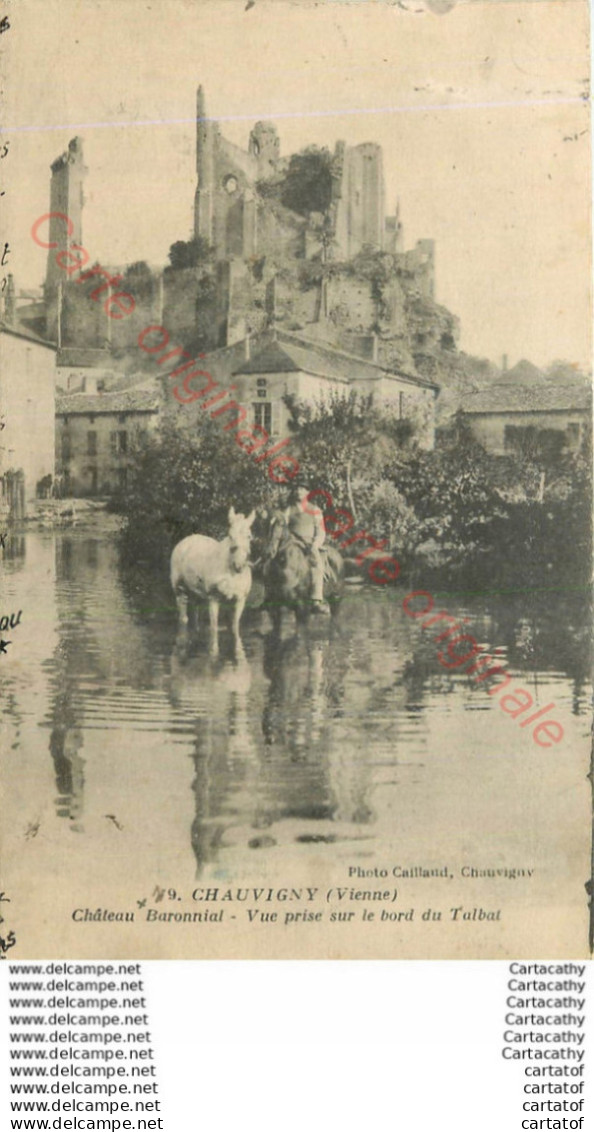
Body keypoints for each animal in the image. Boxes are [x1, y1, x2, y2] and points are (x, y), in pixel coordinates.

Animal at [169, 509, 255, 652]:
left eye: (249, 536)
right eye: (230, 535)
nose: (239, 566)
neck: (231, 572)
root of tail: (186, 540)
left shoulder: (239, 600)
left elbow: (234, 627)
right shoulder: (214, 598)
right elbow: (214, 629)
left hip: (196, 593)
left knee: (195, 612)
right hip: (180, 590)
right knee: (183, 617)